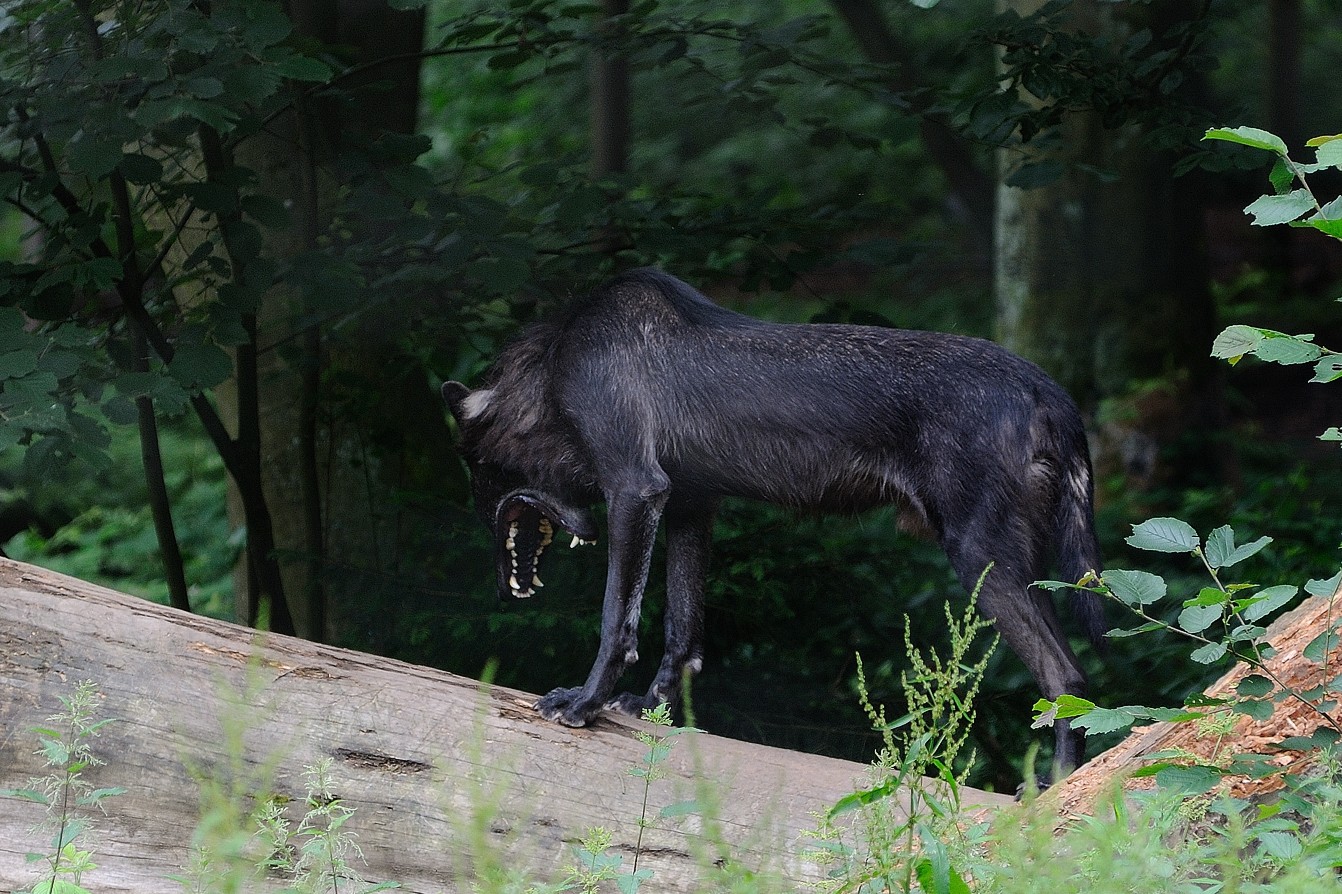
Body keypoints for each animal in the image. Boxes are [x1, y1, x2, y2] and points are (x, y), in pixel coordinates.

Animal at [445, 268, 1105, 767]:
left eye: (472, 466)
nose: (480, 537)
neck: (557, 367)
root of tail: (1050, 392)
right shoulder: (691, 506)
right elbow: (683, 635)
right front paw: (652, 710)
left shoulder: (634, 490)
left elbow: (617, 623)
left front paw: (584, 704)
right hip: (1019, 567)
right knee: (1076, 677)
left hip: (979, 560)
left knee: (1066, 676)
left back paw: (1051, 795)